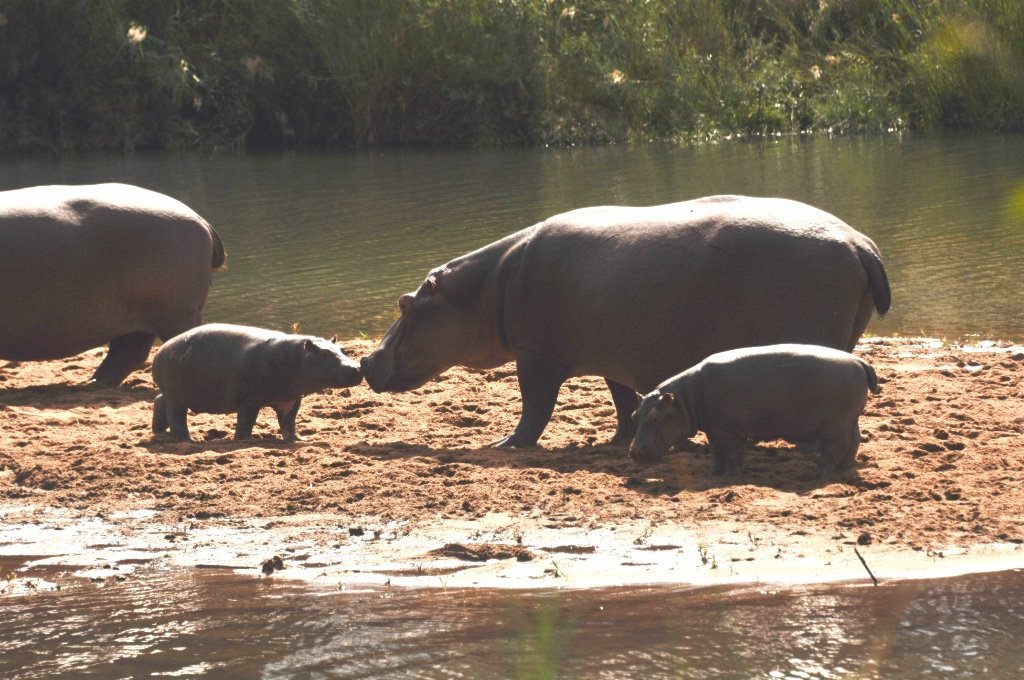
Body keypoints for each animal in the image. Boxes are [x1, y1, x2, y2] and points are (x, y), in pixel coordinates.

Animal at [152, 323, 362, 442]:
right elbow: (246, 420)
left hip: (171, 394)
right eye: (325, 354)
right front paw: (245, 440)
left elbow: (289, 421)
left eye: (343, 349)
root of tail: (161, 350)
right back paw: (189, 441)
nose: (356, 368)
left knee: (159, 401)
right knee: (177, 419)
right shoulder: (252, 399)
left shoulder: (290, 399)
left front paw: (297, 438)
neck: (297, 357)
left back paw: (159, 433)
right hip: (176, 397)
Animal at [361, 195, 890, 448]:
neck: (485, 289)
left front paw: (504, 444)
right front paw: (617, 438)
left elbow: (535, 409)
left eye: (405, 304)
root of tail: (860, 241)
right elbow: (622, 399)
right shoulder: (614, 356)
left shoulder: (536, 357)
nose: (365, 360)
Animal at [628, 343, 880, 476]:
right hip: (849, 419)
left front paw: (731, 476)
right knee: (854, 442)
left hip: (834, 424)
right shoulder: (714, 430)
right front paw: (714, 474)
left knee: (835, 448)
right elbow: (717, 452)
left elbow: (732, 454)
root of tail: (860, 361)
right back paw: (843, 470)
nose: (633, 453)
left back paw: (818, 474)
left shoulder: (729, 431)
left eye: (655, 418)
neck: (685, 398)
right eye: (634, 415)